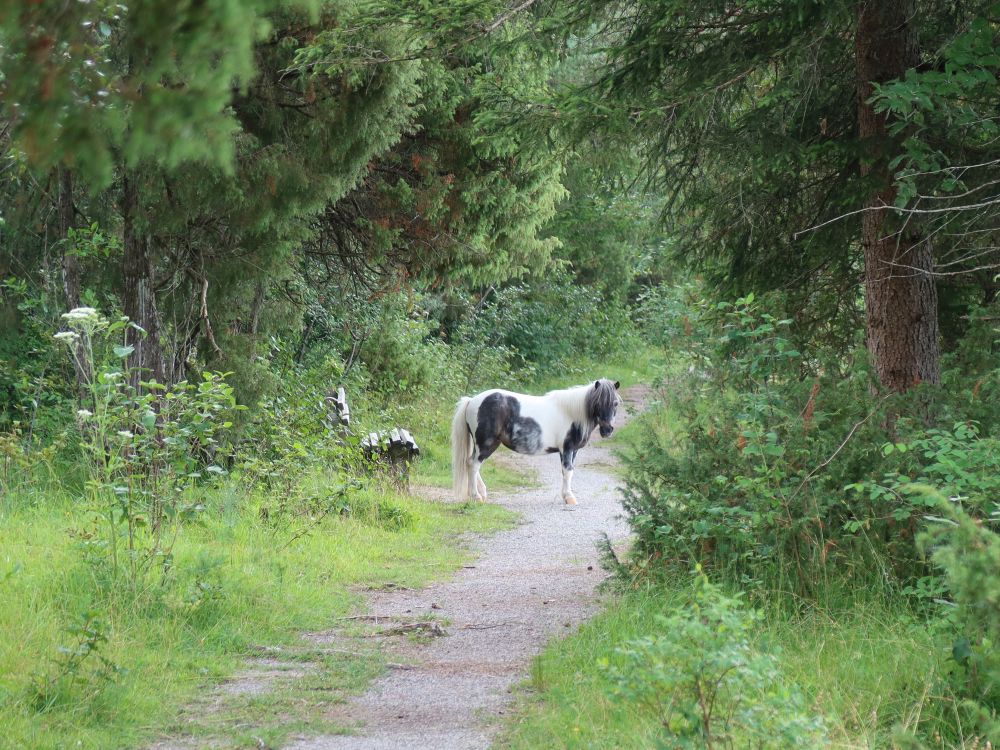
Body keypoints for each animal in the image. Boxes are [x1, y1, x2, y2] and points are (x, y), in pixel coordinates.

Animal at [452, 382, 620, 506]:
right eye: (598, 402)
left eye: (616, 403)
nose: (607, 430)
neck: (571, 413)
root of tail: (472, 401)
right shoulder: (567, 448)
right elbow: (568, 472)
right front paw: (569, 498)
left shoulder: (573, 451)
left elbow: (566, 472)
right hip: (486, 444)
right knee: (473, 465)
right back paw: (476, 496)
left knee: (471, 464)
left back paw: (482, 493)